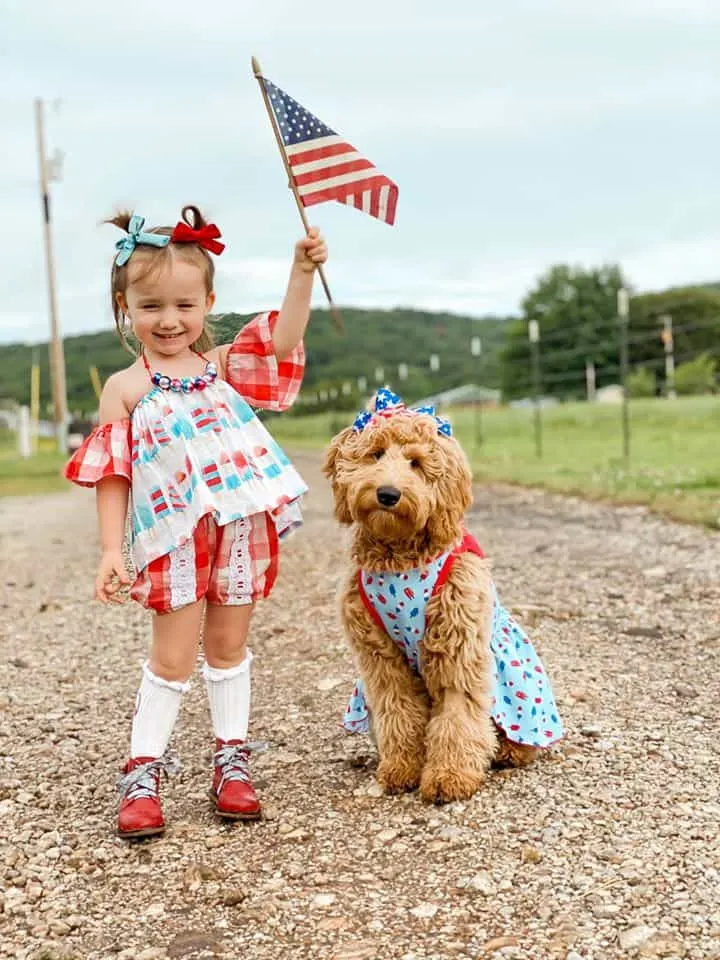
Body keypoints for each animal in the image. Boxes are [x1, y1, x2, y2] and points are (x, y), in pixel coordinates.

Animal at [324, 384, 564, 804]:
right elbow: (399, 710)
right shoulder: (379, 658)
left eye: (417, 463)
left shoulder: (457, 645)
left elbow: (457, 712)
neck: (399, 555)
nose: (388, 494)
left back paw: (507, 752)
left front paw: (449, 777)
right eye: (375, 454)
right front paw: (402, 768)